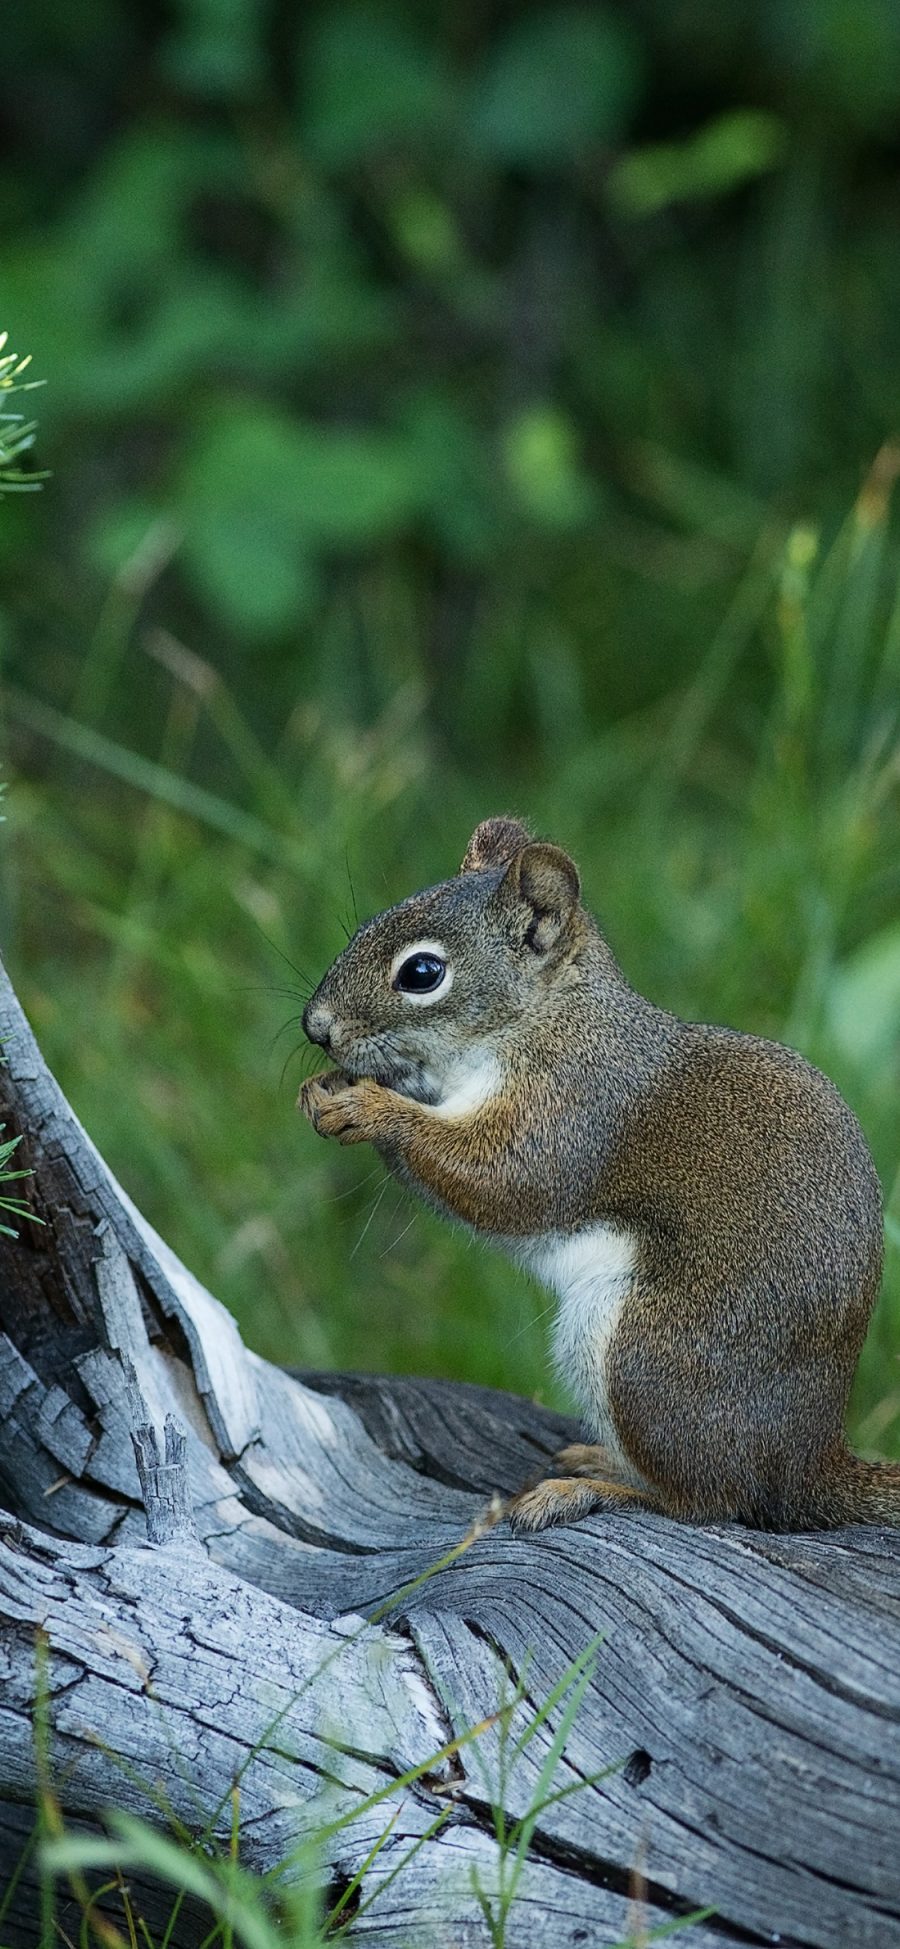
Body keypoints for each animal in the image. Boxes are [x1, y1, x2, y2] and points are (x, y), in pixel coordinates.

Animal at [296, 814, 892, 1528]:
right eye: (364, 926)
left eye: (421, 972)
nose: (316, 1027)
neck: (544, 1021)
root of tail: (807, 1462)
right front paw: (323, 1090)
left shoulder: (572, 1108)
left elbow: (502, 1182)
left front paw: (370, 1107)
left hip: (648, 1357)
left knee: (711, 1500)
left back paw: (597, 1489)